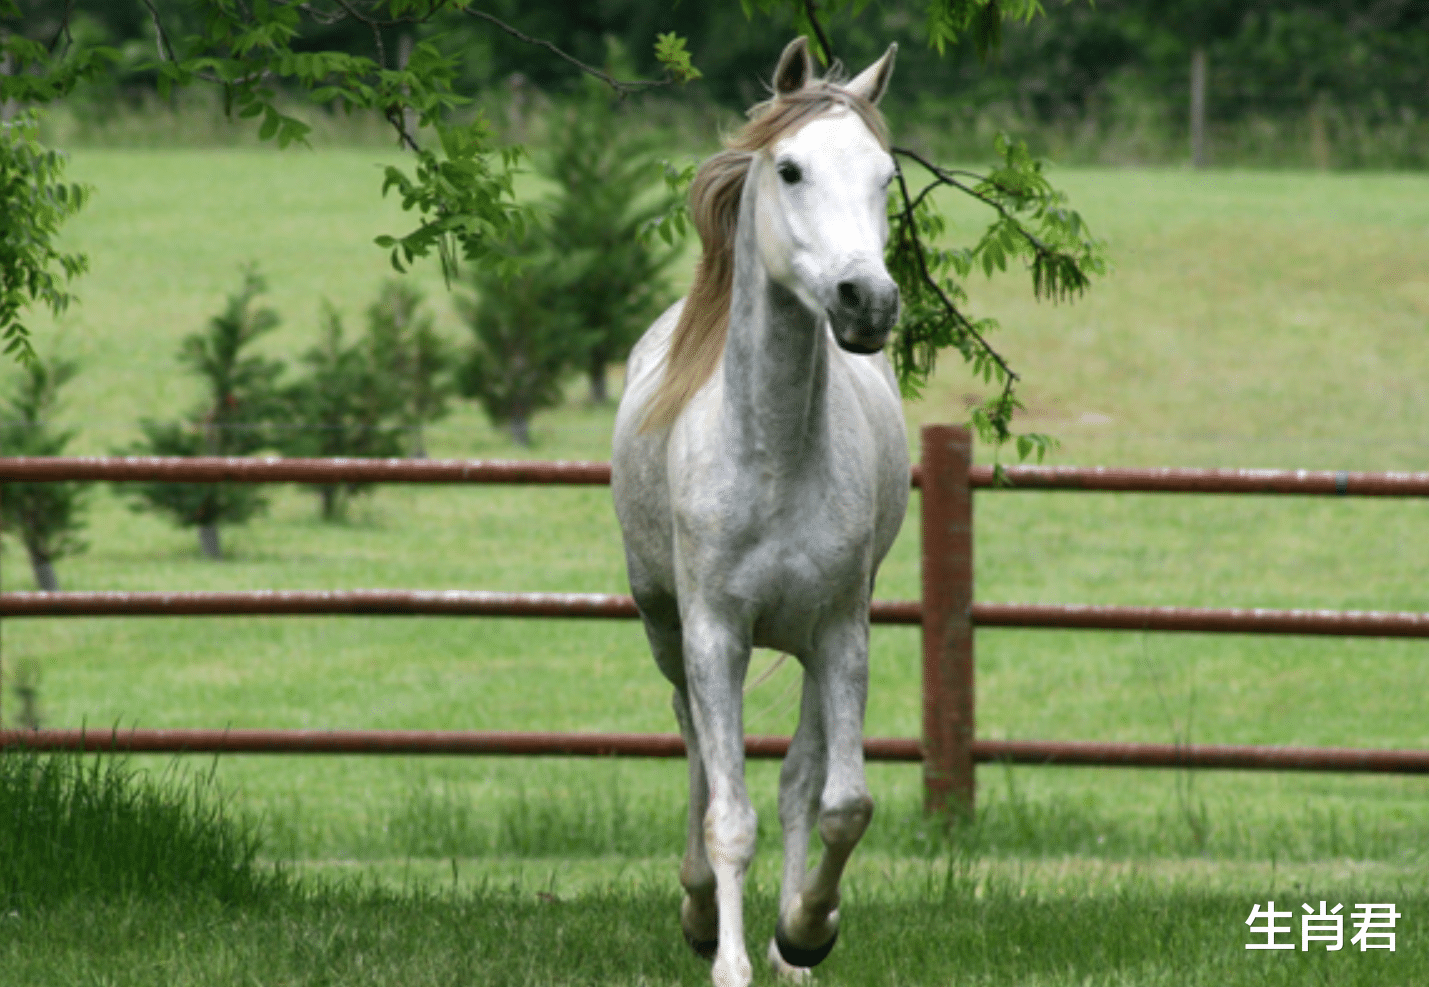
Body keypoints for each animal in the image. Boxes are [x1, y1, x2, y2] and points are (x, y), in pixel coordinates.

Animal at [611, 36, 903, 987]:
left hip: (812, 643)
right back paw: (702, 914)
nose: (866, 300)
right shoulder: (714, 635)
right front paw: (728, 960)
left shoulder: (842, 632)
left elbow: (838, 801)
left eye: (885, 176)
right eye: (790, 168)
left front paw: (804, 930)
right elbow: (727, 812)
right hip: (667, 632)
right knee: (699, 756)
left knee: (798, 780)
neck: (772, 455)